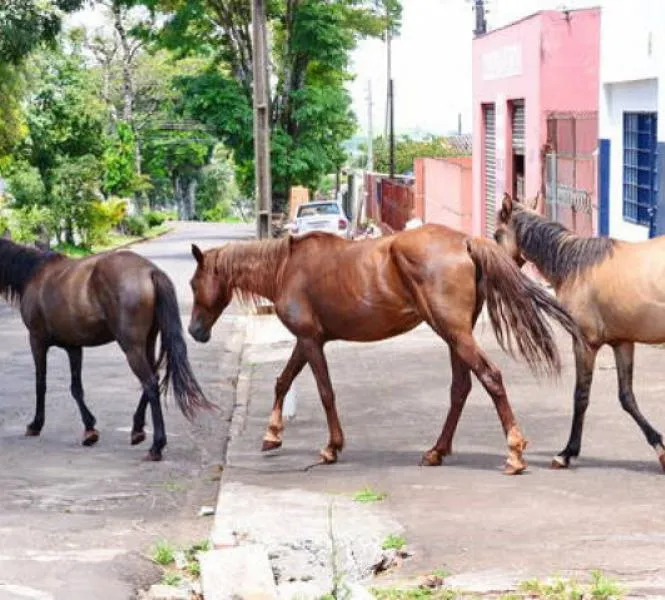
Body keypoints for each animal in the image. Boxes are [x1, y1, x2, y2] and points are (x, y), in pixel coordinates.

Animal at [0, 237, 211, 458]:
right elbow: (76, 388)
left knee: (150, 383)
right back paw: (137, 429)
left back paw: (156, 445)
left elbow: (41, 384)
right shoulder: (73, 347)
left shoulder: (37, 341)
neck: (35, 274)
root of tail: (149, 271)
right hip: (148, 342)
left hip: (131, 348)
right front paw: (89, 430)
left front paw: (35, 425)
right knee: (153, 378)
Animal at [185, 225, 580, 474]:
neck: (286, 268)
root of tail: (466, 242)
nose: (195, 331)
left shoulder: (311, 341)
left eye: (192, 283)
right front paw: (272, 435)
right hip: (455, 336)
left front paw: (331, 447)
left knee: (490, 378)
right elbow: (283, 381)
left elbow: (325, 392)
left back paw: (514, 454)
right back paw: (436, 451)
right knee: (461, 389)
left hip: (454, 332)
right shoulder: (307, 341)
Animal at [496, 195, 664, 472]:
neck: (576, 265)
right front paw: (660, 447)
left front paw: (566, 453)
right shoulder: (622, 342)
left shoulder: (584, 343)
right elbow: (627, 397)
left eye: (497, 234)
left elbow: (580, 396)